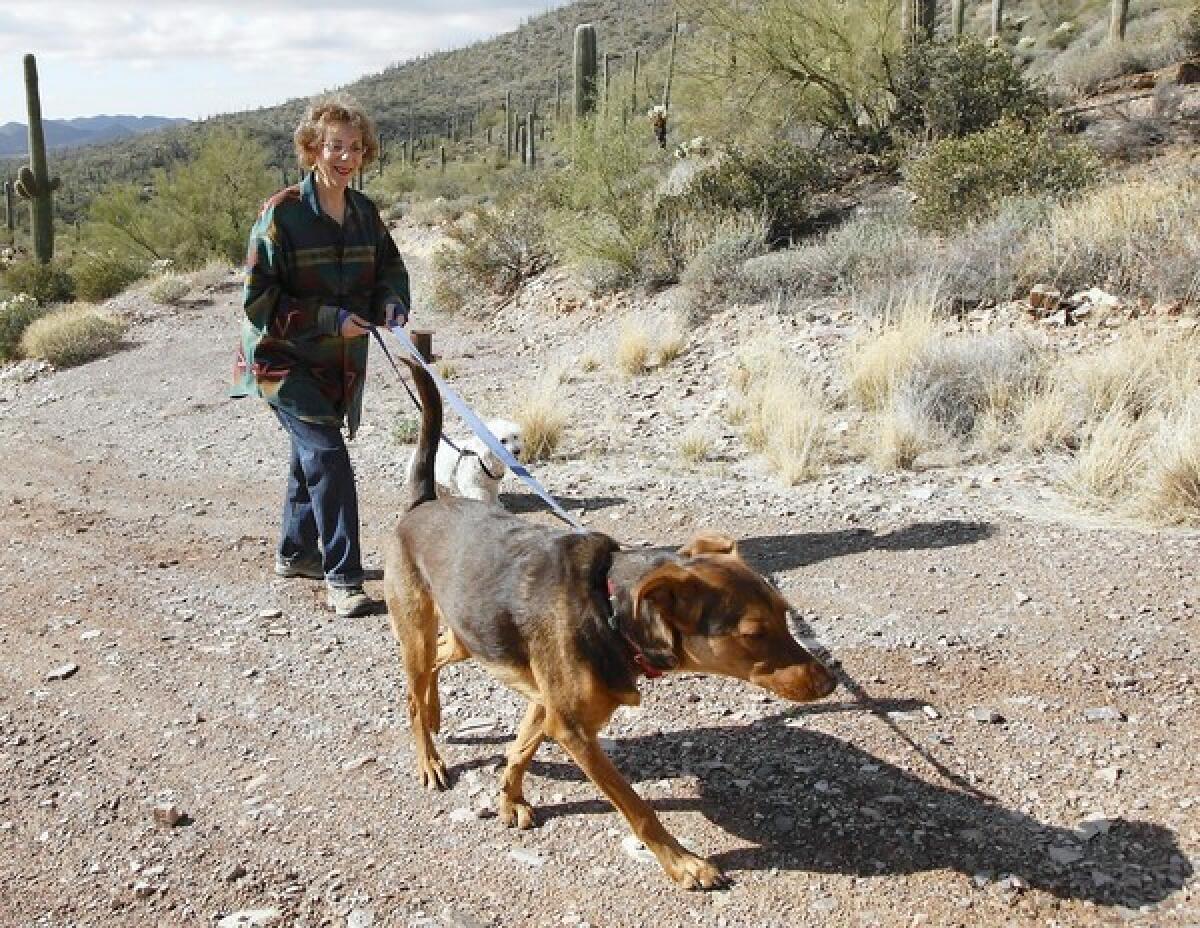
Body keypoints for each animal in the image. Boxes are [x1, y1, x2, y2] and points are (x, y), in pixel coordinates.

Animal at [384, 357, 835, 888]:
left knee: (436, 663)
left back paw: (436, 711)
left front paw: (510, 799)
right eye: (753, 634)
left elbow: (519, 750)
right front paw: (683, 863)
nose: (829, 682)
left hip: (469, 631)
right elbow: (638, 808)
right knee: (414, 691)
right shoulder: (574, 729)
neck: (609, 611)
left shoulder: (549, 705)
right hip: (415, 625)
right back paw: (430, 757)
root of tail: (424, 502)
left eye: (786, 615)